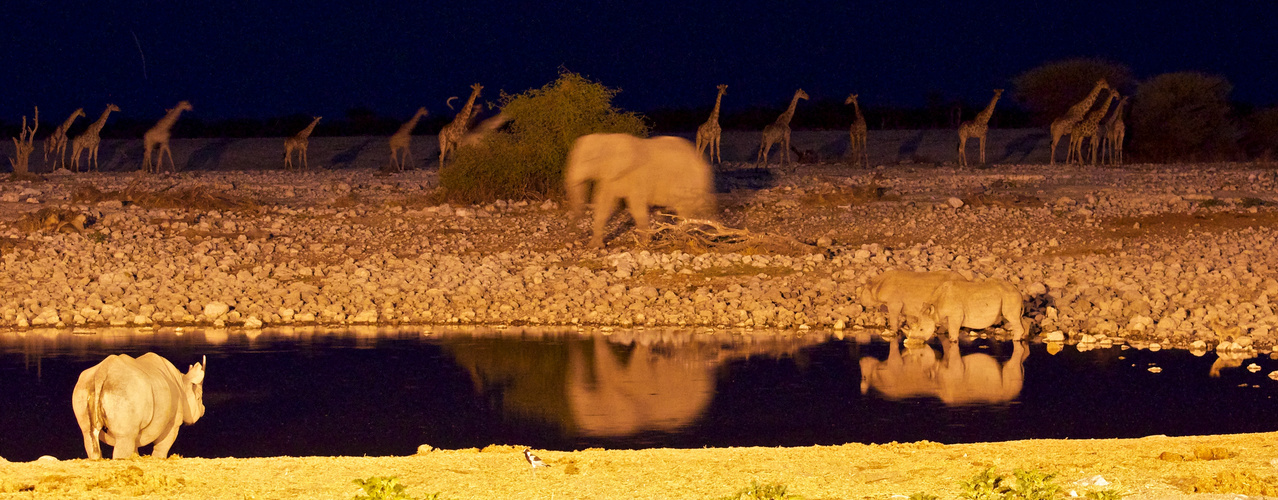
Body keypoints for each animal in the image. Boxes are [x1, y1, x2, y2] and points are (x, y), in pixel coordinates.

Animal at [564, 132, 715, 248]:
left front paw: (644, 243)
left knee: (686, 208)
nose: (574, 235)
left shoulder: (638, 176)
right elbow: (604, 204)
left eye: (588, 160)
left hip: (690, 181)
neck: (608, 138)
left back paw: (683, 234)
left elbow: (636, 207)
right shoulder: (609, 177)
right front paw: (595, 246)